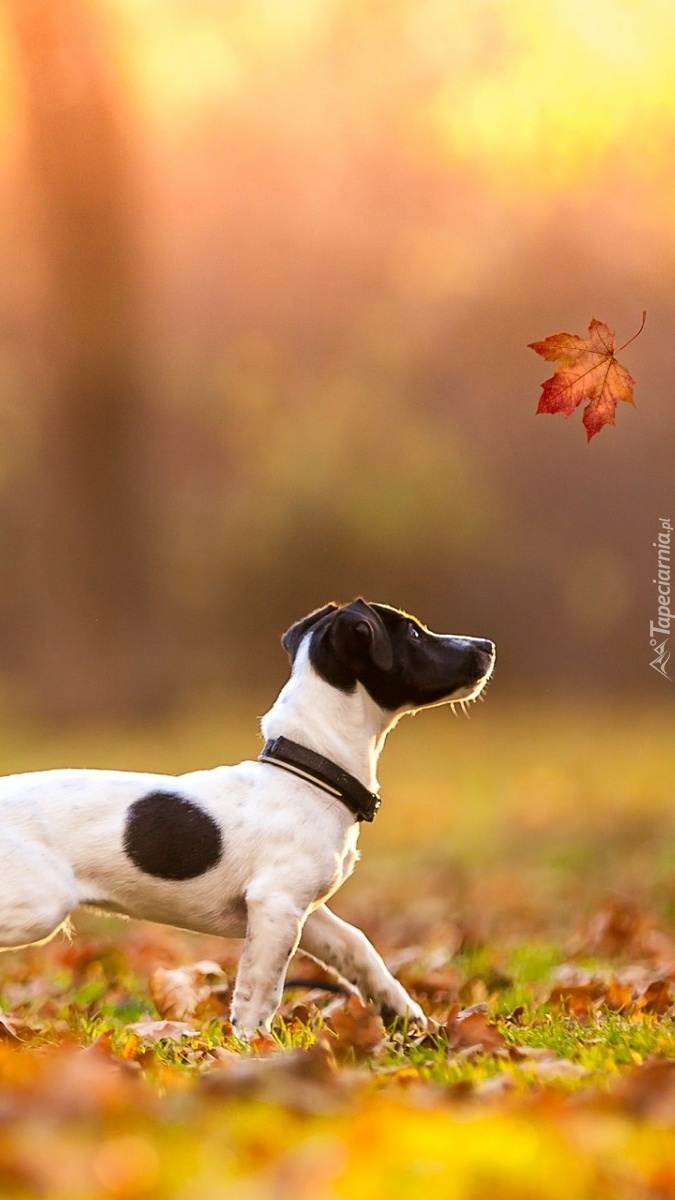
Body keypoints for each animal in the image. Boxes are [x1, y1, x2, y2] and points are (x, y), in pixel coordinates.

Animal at [0, 604, 494, 1036]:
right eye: (413, 633)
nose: (487, 645)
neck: (310, 772)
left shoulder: (305, 911)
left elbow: (357, 948)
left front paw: (405, 1014)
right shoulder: (276, 904)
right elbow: (262, 989)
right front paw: (254, 1048)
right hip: (39, 908)